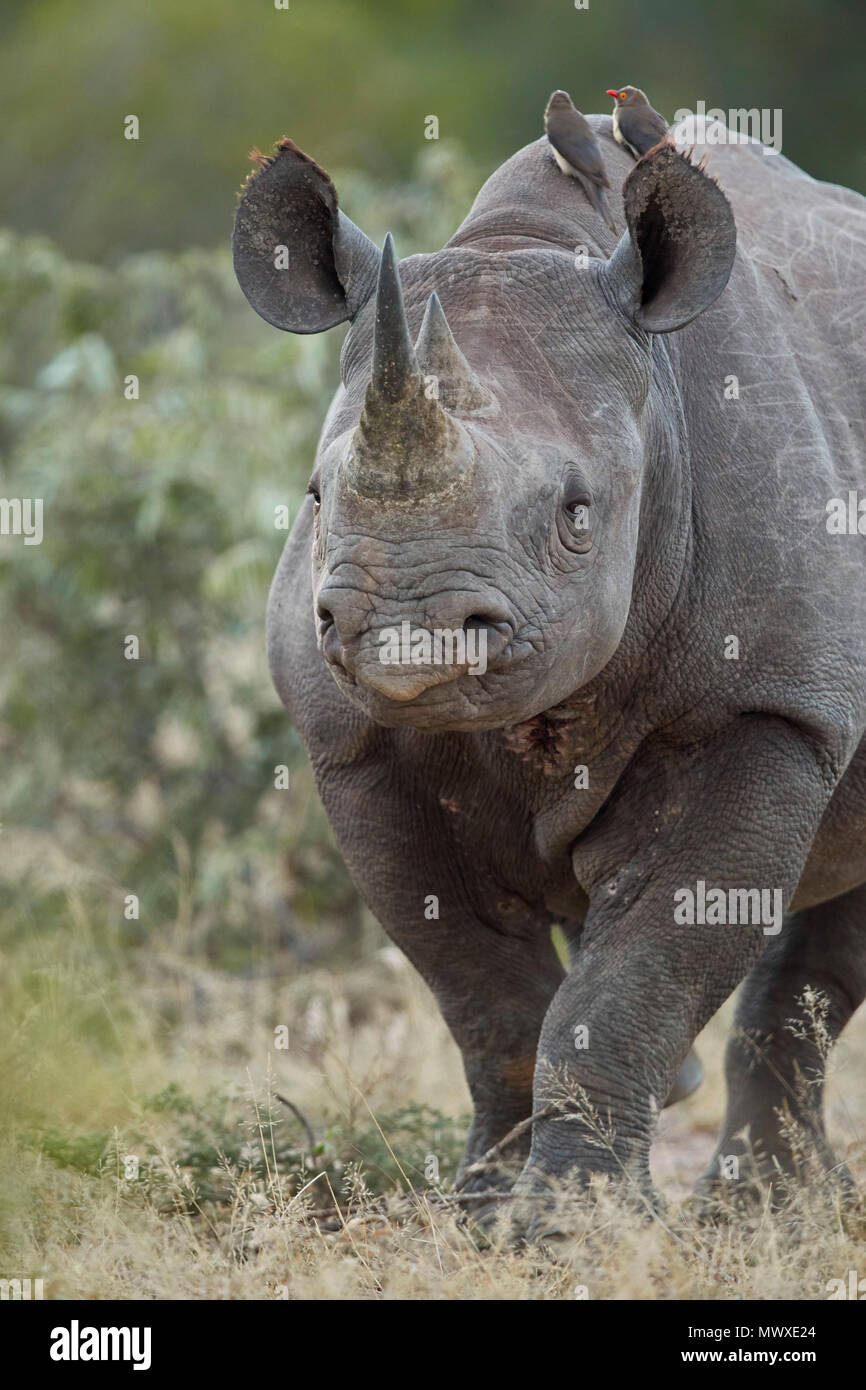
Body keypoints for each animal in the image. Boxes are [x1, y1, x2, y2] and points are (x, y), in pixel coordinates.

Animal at [232, 115, 866, 1225]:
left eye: (577, 515)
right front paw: (484, 1217)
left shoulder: (765, 710)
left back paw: (765, 1213)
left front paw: (575, 1230)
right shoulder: (353, 745)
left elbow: (633, 980)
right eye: (314, 494)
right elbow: (484, 992)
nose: (407, 636)